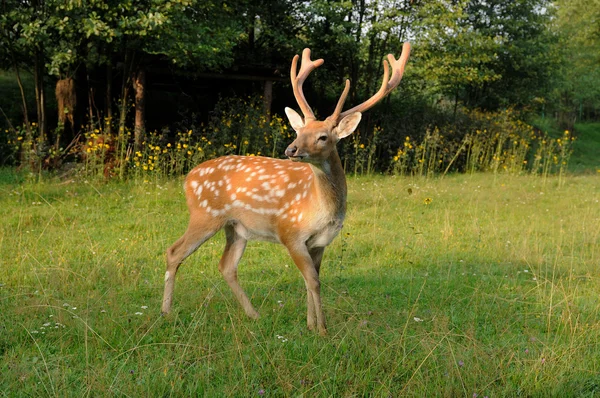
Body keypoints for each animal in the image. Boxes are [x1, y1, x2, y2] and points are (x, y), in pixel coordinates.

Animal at [162, 42, 410, 336]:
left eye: (322, 137)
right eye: (299, 131)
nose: (291, 149)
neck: (322, 210)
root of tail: (187, 178)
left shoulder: (320, 242)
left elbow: (312, 280)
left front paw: (311, 324)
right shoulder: (290, 233)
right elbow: (313, 281)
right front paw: (322, 330)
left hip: (237, 227)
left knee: (226, 266)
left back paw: (254, 314)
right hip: (205, 214)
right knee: (174, 252)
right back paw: (166, 312)